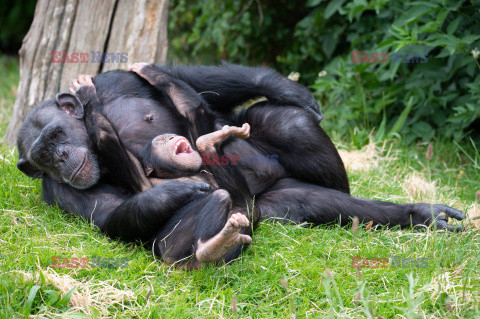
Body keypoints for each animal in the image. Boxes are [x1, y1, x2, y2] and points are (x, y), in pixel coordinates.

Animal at [15, 62, 464, 270]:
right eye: (42, 157)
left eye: (55, 136)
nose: (58, 158)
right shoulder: (60, 192)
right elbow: (110, 218)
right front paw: (177, 190)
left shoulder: (114, 82)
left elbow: (191, 83)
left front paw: (286, 87)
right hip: (260, 210)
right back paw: (210, 250)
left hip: (279, 186)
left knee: (295, 132)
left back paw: (417, 214)